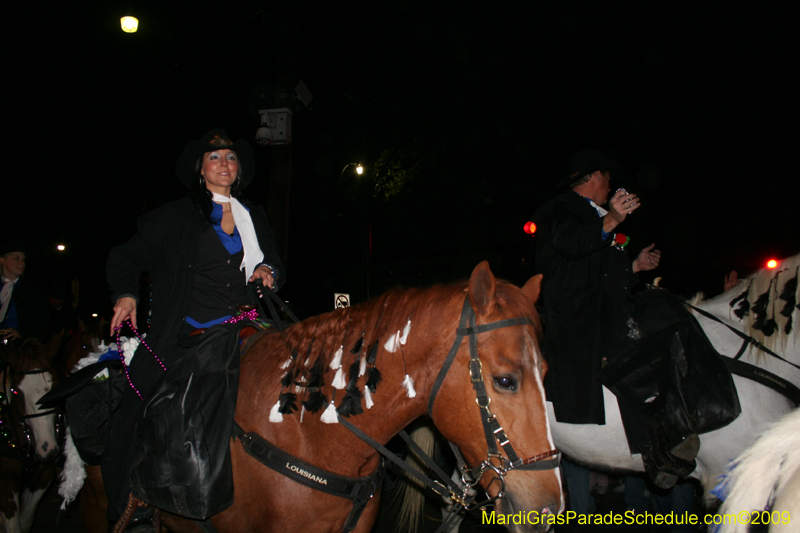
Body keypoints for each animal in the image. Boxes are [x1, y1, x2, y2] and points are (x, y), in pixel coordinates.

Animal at [0, 334, 62, 528]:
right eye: (17, 392)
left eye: (55, 386)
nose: (47, 449)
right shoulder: (6, 483)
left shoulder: (43, 475)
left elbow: (25, 520)